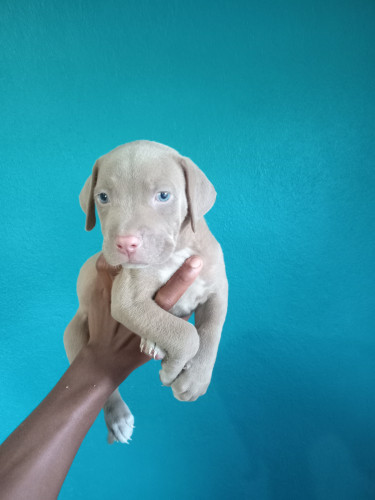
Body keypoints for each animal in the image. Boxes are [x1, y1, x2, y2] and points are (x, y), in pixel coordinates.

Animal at [64, 140, 229, 442]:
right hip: (74, 335)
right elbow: (187, 334)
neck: (178, 250)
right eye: (103, 197)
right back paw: (117, 417)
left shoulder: (217, 290)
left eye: (163, 196)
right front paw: (173, 370)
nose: (125, 243)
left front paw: (195, 380)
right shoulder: (127, 300)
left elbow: (211, 332)